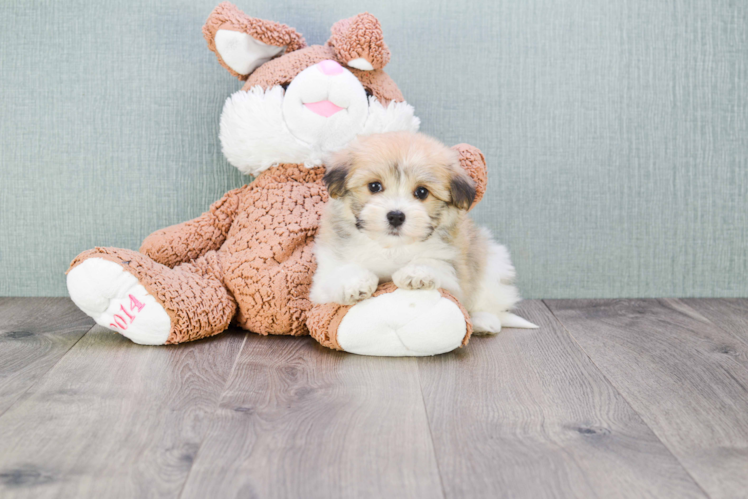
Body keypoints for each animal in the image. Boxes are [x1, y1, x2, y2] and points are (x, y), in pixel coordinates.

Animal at [310, 131, 536, 334]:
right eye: (374, 186)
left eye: (421, 192)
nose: (396, 216)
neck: (392, 246)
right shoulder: (324, 275)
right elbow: (340, 271)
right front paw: (354, 283)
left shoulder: (454, 272)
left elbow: (436, 264)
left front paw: (415, 273)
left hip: (493, 262)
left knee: (490, 303)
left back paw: (483, 322)